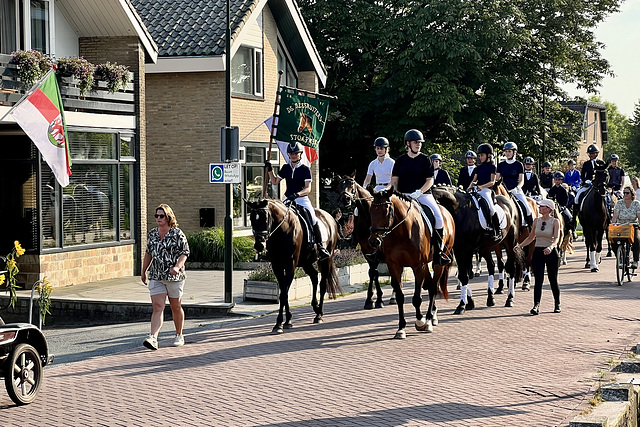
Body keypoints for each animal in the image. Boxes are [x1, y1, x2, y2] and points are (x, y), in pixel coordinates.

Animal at [248, 198, 342, 334]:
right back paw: (315, 307)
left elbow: (284, 294)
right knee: (314, 276)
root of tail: (330, 217)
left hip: (326, 259)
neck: (282, 230)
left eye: (265, 218)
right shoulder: (277, 266)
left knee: (323, 284)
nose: (259, 245)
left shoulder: (290, 265)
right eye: (251, 219)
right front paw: (287, 321)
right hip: (306, 262)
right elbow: (284, 292)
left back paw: (319, 314)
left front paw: (280, 323)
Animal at [364, 191, 456, 342]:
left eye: (386, 211)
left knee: (433, 288)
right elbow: (400, 297)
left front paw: (420, 321)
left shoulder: (418, 265)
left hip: (437, 262)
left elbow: (417, 298)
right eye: (371, 211)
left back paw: (429, 320)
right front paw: (401, 328)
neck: (401, 231)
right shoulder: (394, 265)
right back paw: (432, 315)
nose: (373, 241)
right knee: (430, 285)